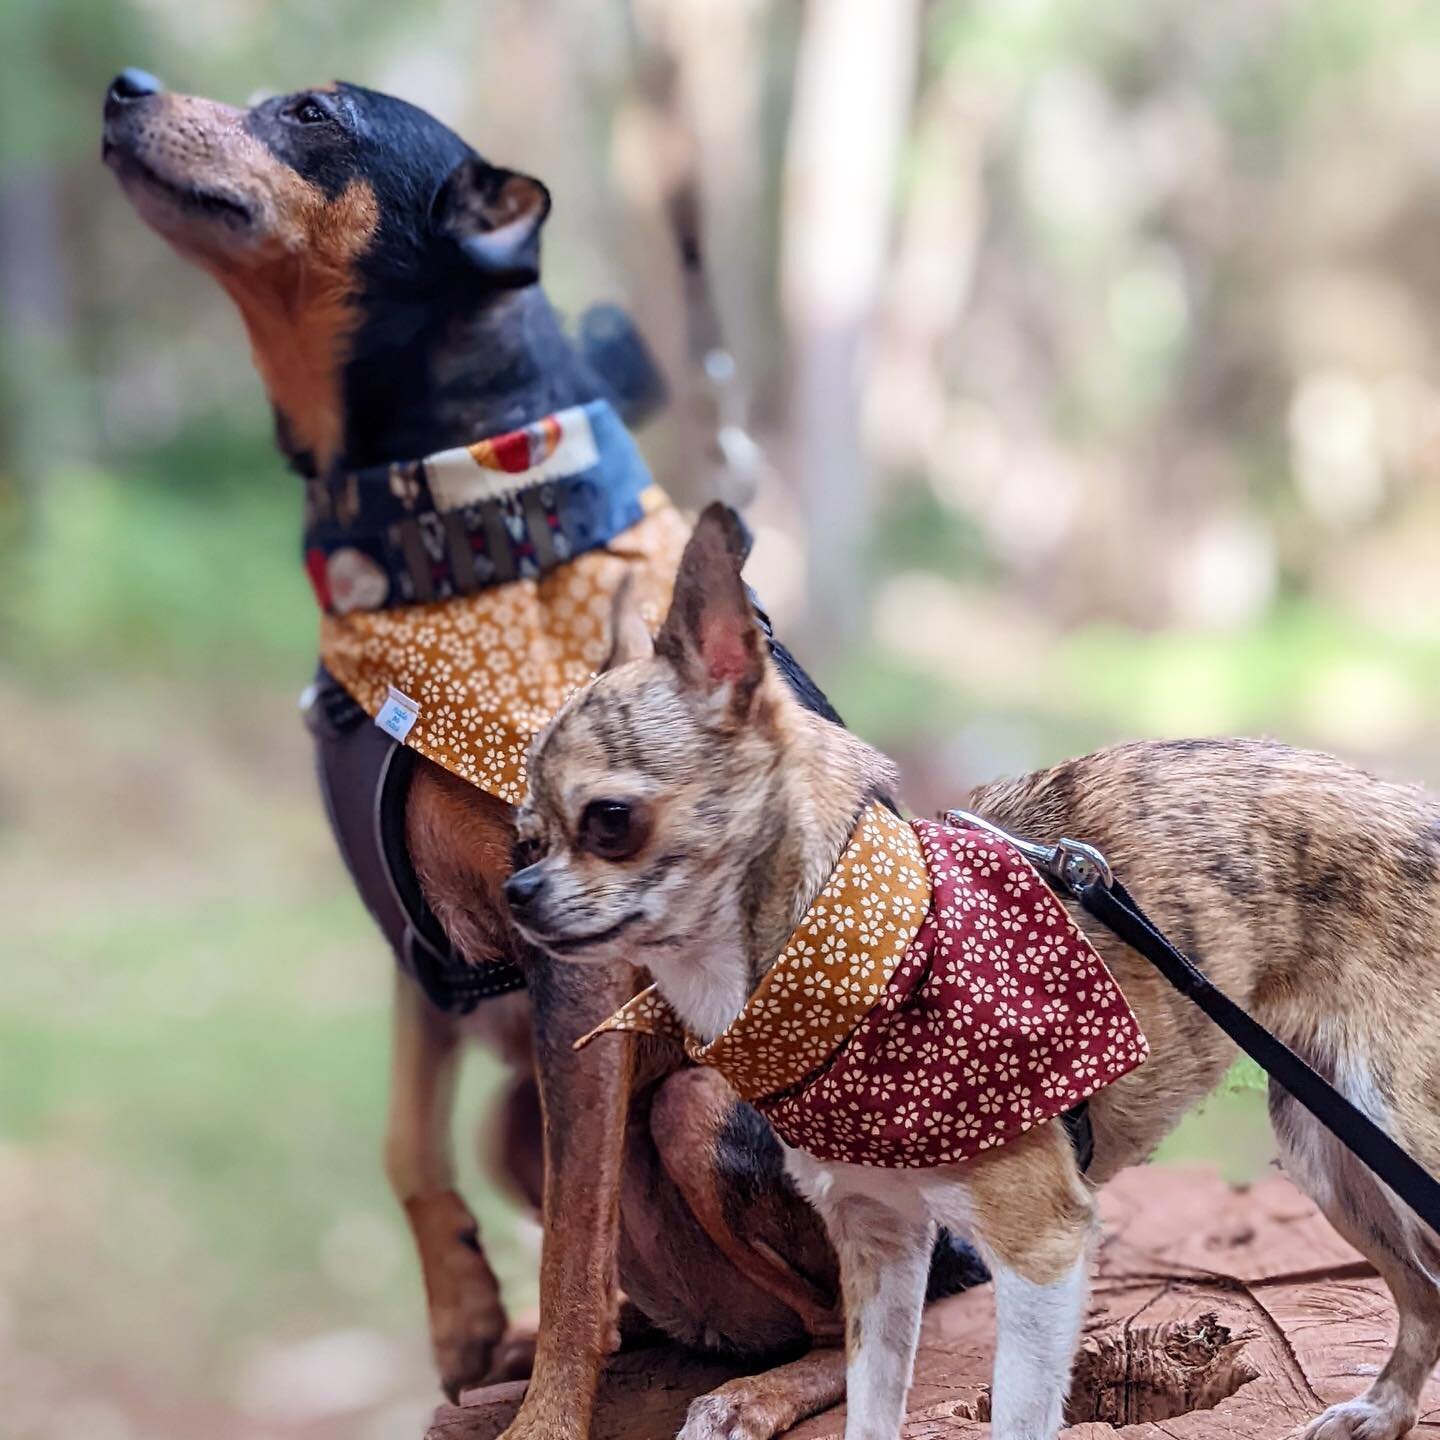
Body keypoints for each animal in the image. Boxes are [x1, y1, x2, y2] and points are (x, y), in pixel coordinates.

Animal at [98, 73, 979, 1440]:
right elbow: (409, 1143)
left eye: (311, 114)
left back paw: (751, 1388)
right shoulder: (430, 953)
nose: (124, 88)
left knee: (865, 1311)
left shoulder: (579, 965)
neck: (463, 520)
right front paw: (465, 1313)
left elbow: (572, 1250)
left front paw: (552, 1413)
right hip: (530, 1115)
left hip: (701, 1104)